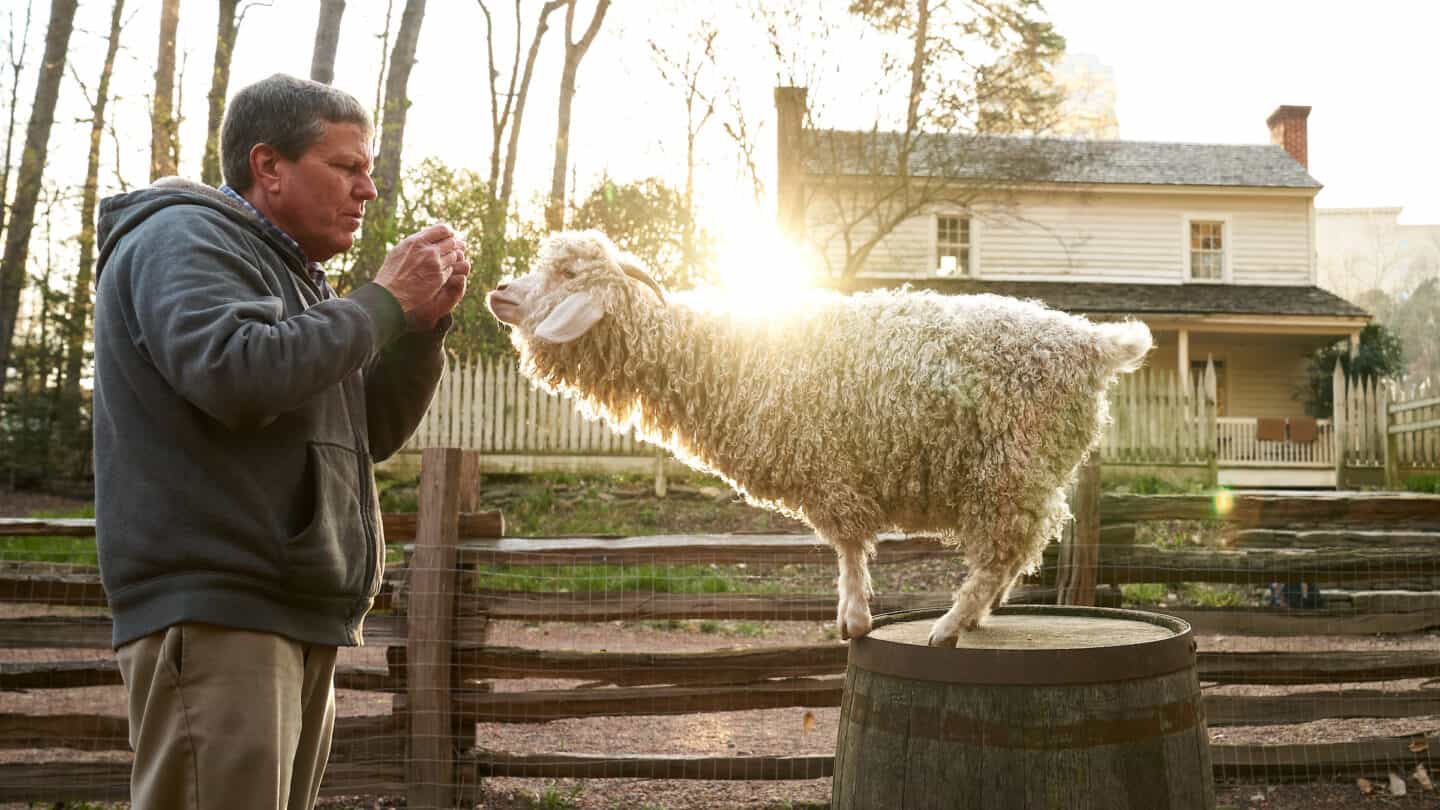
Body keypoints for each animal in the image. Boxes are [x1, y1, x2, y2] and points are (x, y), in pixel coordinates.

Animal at [489, 229, 1152, 642]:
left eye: (567, 273)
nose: (499, 291)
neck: (724, 356)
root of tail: (1093, 345)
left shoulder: (832, 468)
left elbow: (850, 547)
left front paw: (854, 619)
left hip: (1011, 466)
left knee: (1005, 549)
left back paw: (950, 625)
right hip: (1028, 470)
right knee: (1019, 547)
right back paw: (974, 618)